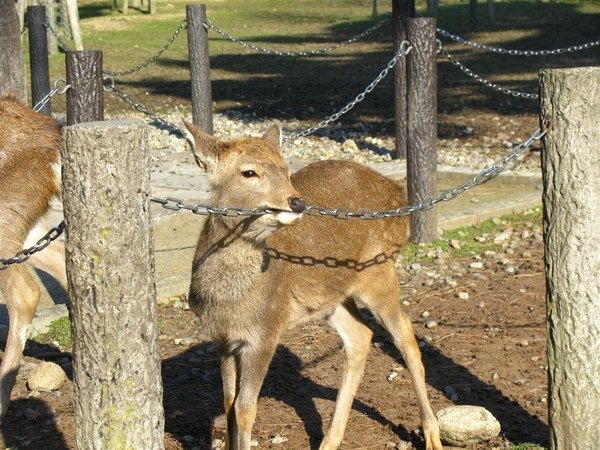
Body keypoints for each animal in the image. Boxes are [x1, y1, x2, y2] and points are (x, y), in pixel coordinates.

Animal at [188, 120, 446, 450]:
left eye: (286, 169)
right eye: (249, 172)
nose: (296, 201)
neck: (228, 298)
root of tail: (400, 197)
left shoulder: (266, 331)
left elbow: (246, 408)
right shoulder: (223, 339)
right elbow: (228, 402)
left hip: (379, 271)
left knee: (405, 335)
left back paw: (432, 434)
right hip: (331, 296)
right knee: (361, 335)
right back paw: (329, 441)